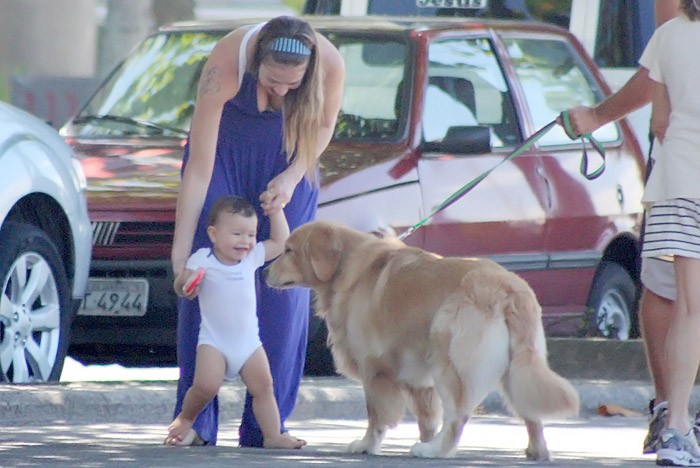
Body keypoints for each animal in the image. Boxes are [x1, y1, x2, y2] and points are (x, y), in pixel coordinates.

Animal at [266, 221, 576, 458]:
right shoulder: (416, 379)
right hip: (518, 364)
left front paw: (367, 445)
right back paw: (537, 451)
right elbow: (426, 419)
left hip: (448, 356)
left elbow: (375, 414)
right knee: (530, 410)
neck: (347, 267)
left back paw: (435, 451)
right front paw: (422, 437)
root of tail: (509, 288)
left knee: (458, 415)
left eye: (288, 250)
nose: (263, 271)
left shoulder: (375, 367)